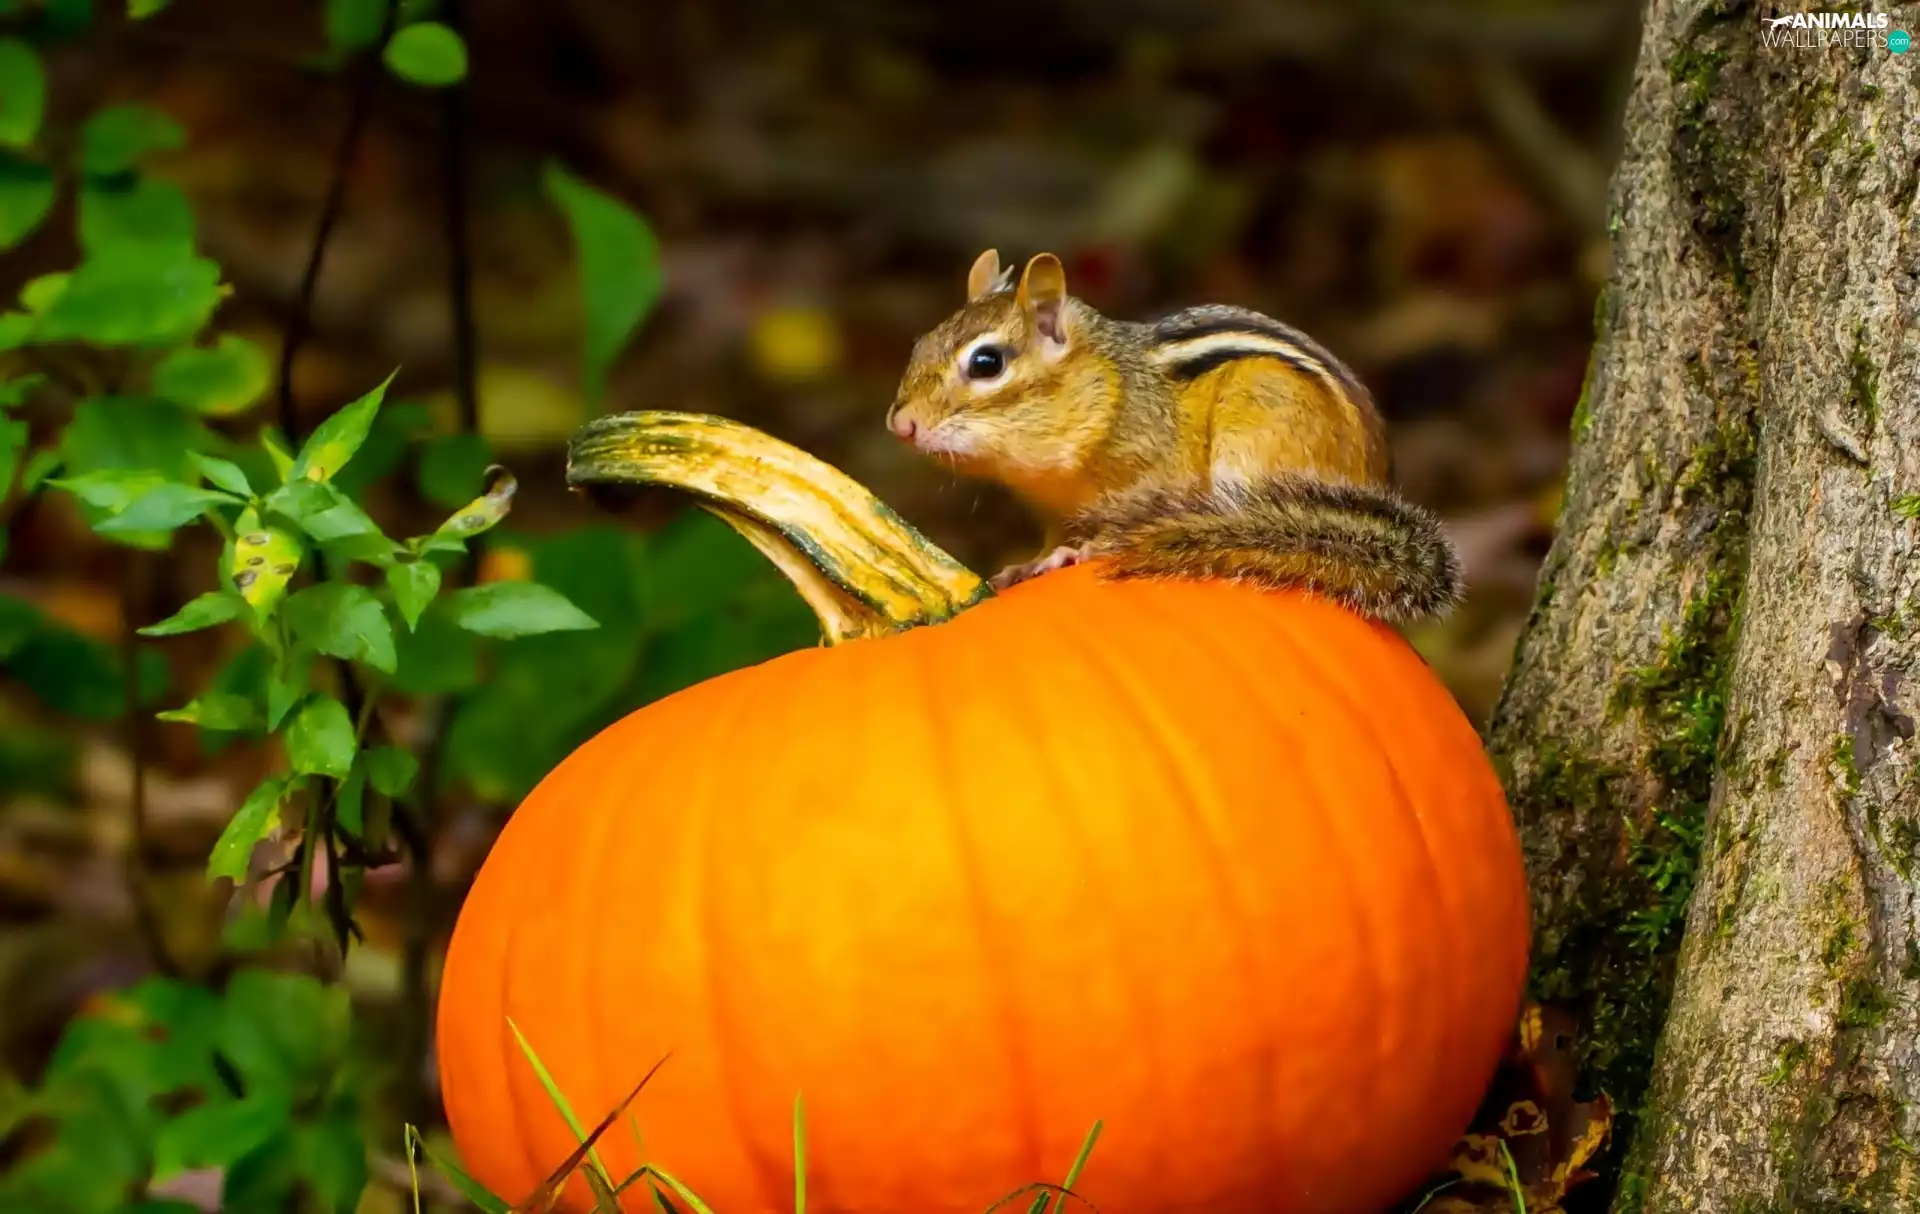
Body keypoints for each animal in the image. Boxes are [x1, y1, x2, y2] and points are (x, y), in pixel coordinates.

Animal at [883, 249, 1462, 625]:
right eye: (919, 343)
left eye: (987, 363)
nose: (900, 424)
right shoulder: (1054, 510)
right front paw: (1031, 563)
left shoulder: (1159, 470)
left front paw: (1081, 550)